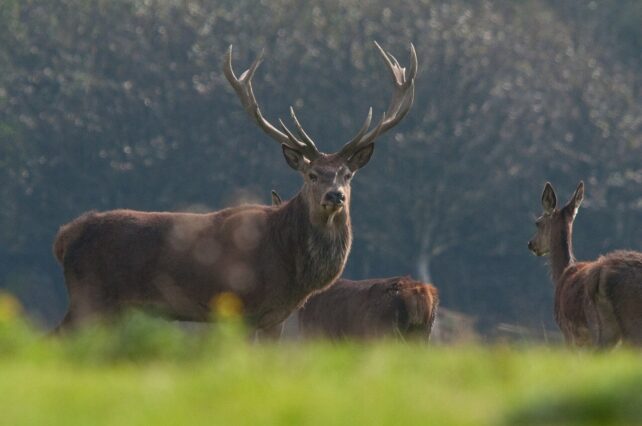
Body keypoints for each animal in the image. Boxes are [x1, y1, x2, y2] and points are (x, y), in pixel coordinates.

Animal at [52, 42, 418, 332]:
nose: (335, 196)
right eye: (311, 175)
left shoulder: (275, 316)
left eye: (347, 174)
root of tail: (64, 237)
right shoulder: (241, 306)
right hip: (90, 298)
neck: (290, 264)